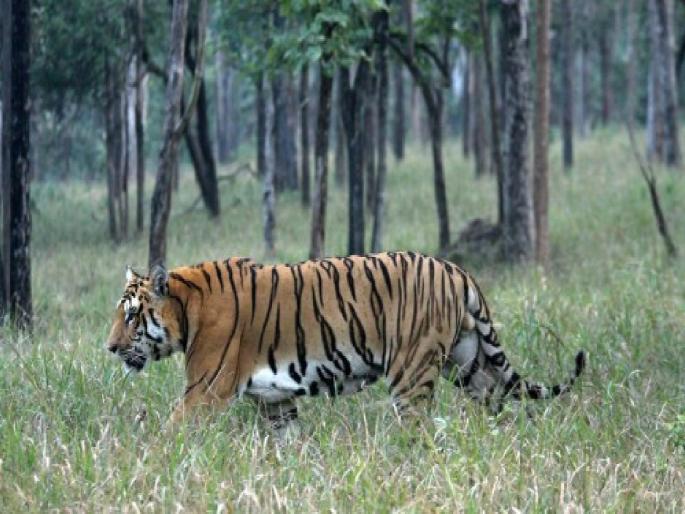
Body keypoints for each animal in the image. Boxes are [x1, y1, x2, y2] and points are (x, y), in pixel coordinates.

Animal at [105, 252, 585, 432]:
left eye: (131, 315)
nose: (109, 348)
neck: (188, 308)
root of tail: (457, 270)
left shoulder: (204, 391)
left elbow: (169, 433)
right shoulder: (276, 401)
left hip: (411, 375)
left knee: (420, 431)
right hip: (471, 366)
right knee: (496, 406)